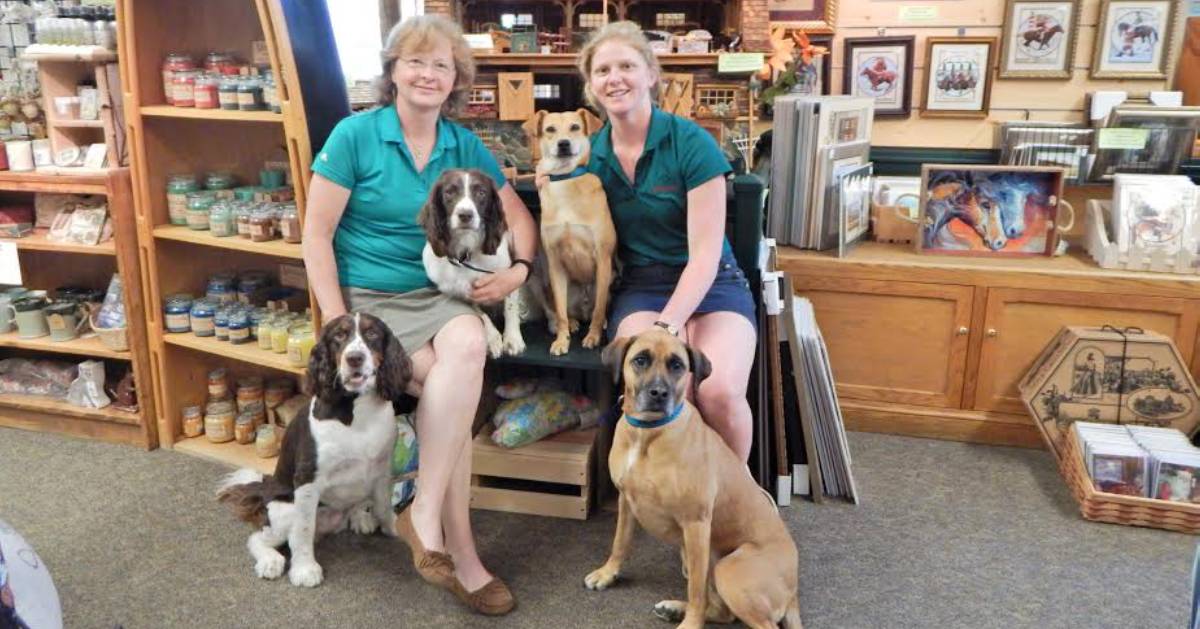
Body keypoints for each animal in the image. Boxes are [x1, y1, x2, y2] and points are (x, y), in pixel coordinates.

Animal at [520, 107, 614, 352]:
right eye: (550, 129)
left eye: (575, 127)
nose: (563, 144)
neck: (564, 181)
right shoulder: (555, 263)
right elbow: (560, 312)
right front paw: (562, 340)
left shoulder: (603, 258)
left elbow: (599, 310)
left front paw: (593, 337)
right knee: (565, 310)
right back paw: (572, 323)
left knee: (598, 309)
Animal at [585, 328, 801, 629]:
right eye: (640, 360)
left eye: (677, 365)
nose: (658, 393)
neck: (648, 433)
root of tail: (793, 591)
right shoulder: (626, 501)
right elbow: (620, 542)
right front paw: (608, 573)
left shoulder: (696, 524)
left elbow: (696, 589)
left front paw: (691, 622)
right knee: (724, 612)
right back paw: (674, 608)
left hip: (728, 568)